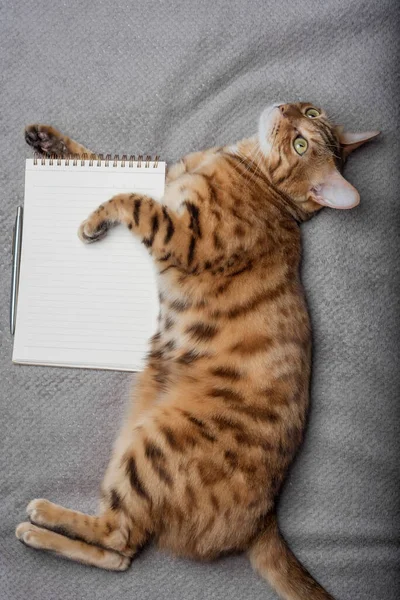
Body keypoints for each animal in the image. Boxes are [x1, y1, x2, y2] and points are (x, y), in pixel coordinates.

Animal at [18, 104, 378, 600]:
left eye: (302, 141)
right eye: (309, 112)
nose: (285, 110)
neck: (237, 160)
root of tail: (266, 518)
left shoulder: (185, 236)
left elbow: (129, 197)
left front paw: (94, 219)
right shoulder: (167, 179)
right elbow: (98, 157)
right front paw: (49, 141)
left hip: (153, 446)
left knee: (120, 539)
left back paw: (38, 523)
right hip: (133, 437)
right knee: (120, 550)